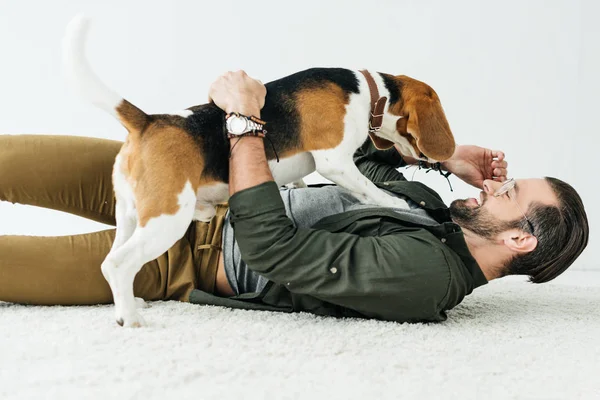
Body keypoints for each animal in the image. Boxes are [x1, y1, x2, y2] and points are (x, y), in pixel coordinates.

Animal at [62, 16, 454, 328]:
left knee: (113, 259)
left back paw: (127, 306)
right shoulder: (335, 162)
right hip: (167, 218)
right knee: (117, 264)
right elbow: (371, 190)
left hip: (130, 216)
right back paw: (131, 319)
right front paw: (398, 205)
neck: (370, 93)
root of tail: (149, 120)